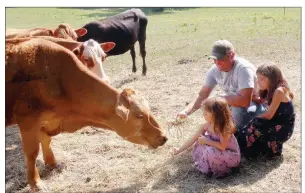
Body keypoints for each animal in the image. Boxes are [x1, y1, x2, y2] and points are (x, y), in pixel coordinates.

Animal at [4, 37, 167, 191]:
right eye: (139, 115)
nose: (164, 136)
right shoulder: (28, 121)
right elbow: (32, 153)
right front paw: (36, 183)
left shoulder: (48, 121)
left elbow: (46, 140)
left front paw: (52, 163)